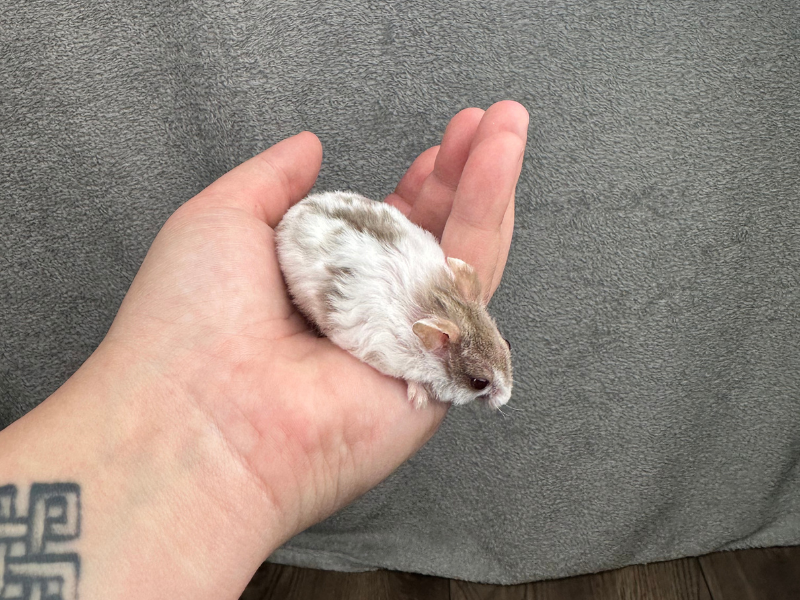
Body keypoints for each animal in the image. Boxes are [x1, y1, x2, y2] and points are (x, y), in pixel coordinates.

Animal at [274, 191, 513, 409]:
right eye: (479, 382)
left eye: (507, 343)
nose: (506, 398)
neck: (439, 304)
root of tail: (291, 213)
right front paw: (419, 400)